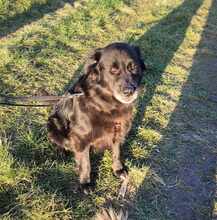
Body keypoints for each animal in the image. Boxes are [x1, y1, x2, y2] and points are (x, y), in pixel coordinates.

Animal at [47, 42, 146, 191]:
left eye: (133, 67)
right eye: (113, 70)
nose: (129, 91)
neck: (106, 104)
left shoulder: (117, 131)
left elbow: (117, 153)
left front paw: (118, 170)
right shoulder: (81, 137)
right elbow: (85, 162)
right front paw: (85, 182)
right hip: (53, 123)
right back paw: (61, 152)